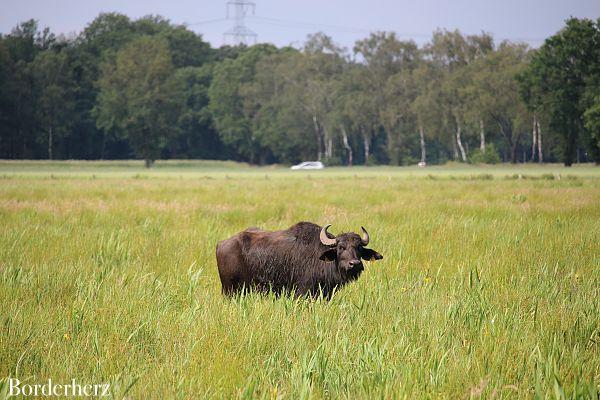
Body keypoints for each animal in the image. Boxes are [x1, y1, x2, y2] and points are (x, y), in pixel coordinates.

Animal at [216, 222, 384, 296]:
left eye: (359, 248)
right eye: (341, 247)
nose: (354, 264)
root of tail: (221, 243)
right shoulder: (303, 292)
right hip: (230, 290)